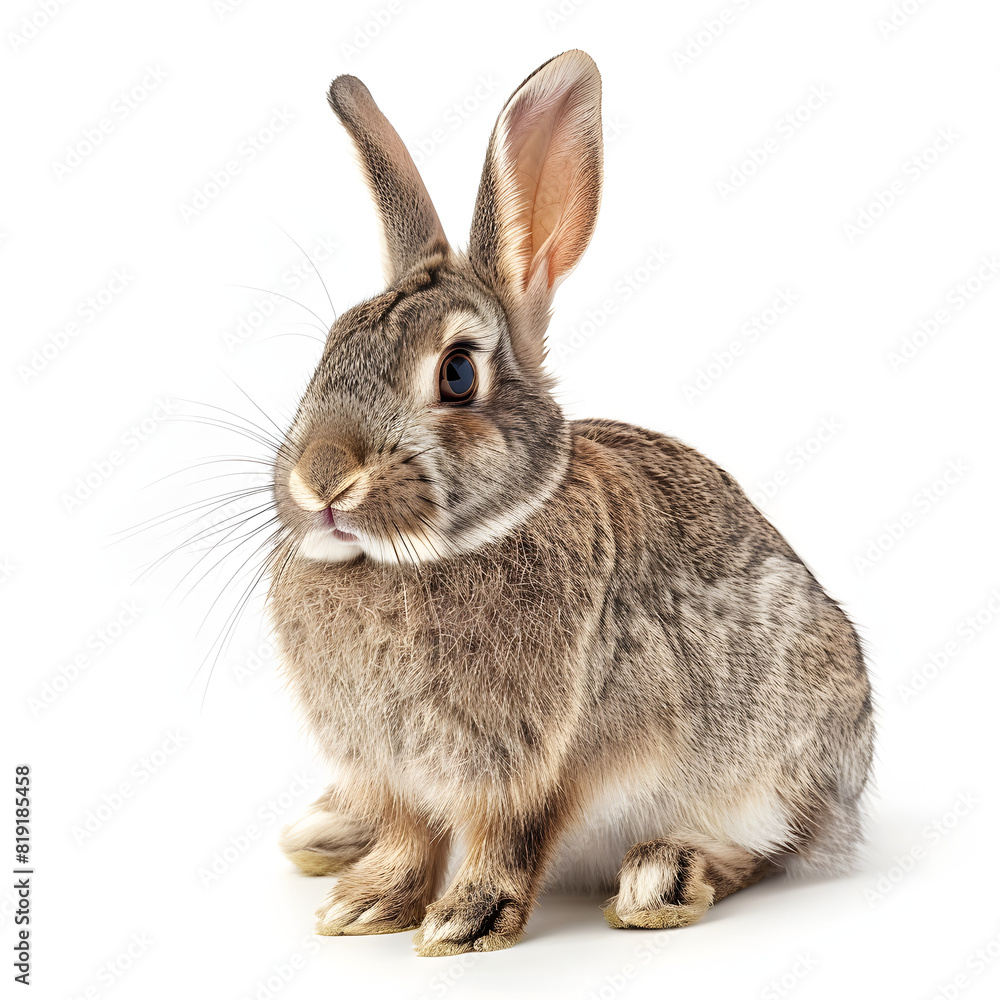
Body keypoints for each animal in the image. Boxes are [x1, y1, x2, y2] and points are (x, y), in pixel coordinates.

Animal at [268, 49, 874, 957]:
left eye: (457, 373)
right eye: (332, 348)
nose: (322, 477)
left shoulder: (547, 762)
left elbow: (511, 837)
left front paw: (462, 921)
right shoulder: (395, 771)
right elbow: (410, 833)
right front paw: (366, 904)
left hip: (777, 756)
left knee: (770, 847)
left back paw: (665, 875)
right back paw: (327, 833)